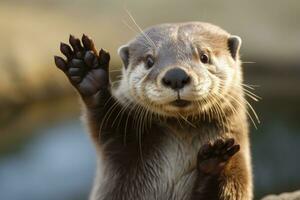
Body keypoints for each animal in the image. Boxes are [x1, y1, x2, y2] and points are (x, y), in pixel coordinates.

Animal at [54, 22, 253, 200]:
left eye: (204, 56)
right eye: (149, 60)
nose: (176, 75)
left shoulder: (239, 170)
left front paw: (216, 160)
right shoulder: (118, 145)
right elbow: (104, 121)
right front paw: (86, 68)